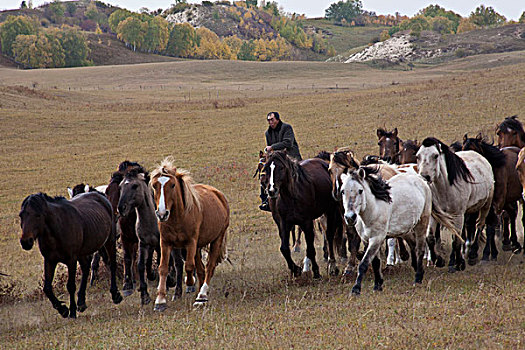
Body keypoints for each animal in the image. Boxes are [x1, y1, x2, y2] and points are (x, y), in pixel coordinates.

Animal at [149, 157, 227, 310]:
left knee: (209, 267)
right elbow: (163, 268)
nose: (162, 214)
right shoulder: (165, 243)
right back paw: (202, 296)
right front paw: (160, 300)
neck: (178, 218)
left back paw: (201, 295)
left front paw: (189, 281)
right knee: (202, 269)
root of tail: (219, 195)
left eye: (172, 185)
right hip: (198, 246)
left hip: (216, 239)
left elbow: (189, 266)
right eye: (155, 186)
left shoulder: (191, 242)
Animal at [260, 150, 342, 278]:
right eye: (266, 168)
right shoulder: (284, 223)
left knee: (329, 236)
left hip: (330, 211)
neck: (290, 197)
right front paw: (296, 269)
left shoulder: (306, 222)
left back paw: (332, 267)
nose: (272, 190)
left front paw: (316, 272)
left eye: (282, 167)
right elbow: (284, 248)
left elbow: (311, 248)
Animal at [416, 137, 494, 270]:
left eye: (435, 155)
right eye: (418, 156)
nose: (424, 177)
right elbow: (430, 238)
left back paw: (472, 255)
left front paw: (456, 264)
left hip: (485, 206)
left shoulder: (457, 215)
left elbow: (456, 240)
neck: (445, 188)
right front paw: (438, 260)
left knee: (479, 225)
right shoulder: (434, 215)